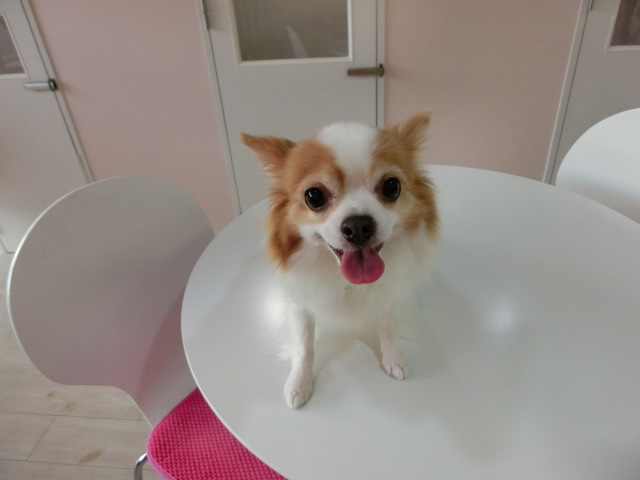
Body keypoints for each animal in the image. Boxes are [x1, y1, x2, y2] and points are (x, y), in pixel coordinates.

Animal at [241, 110, 439, 409]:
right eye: (314, 196)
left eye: (392, 187)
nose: (358, 225)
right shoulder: (301, 302)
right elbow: (304, 345)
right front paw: (299, 383)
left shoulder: (391, 292)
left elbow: (388, 326)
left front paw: (393, 357)